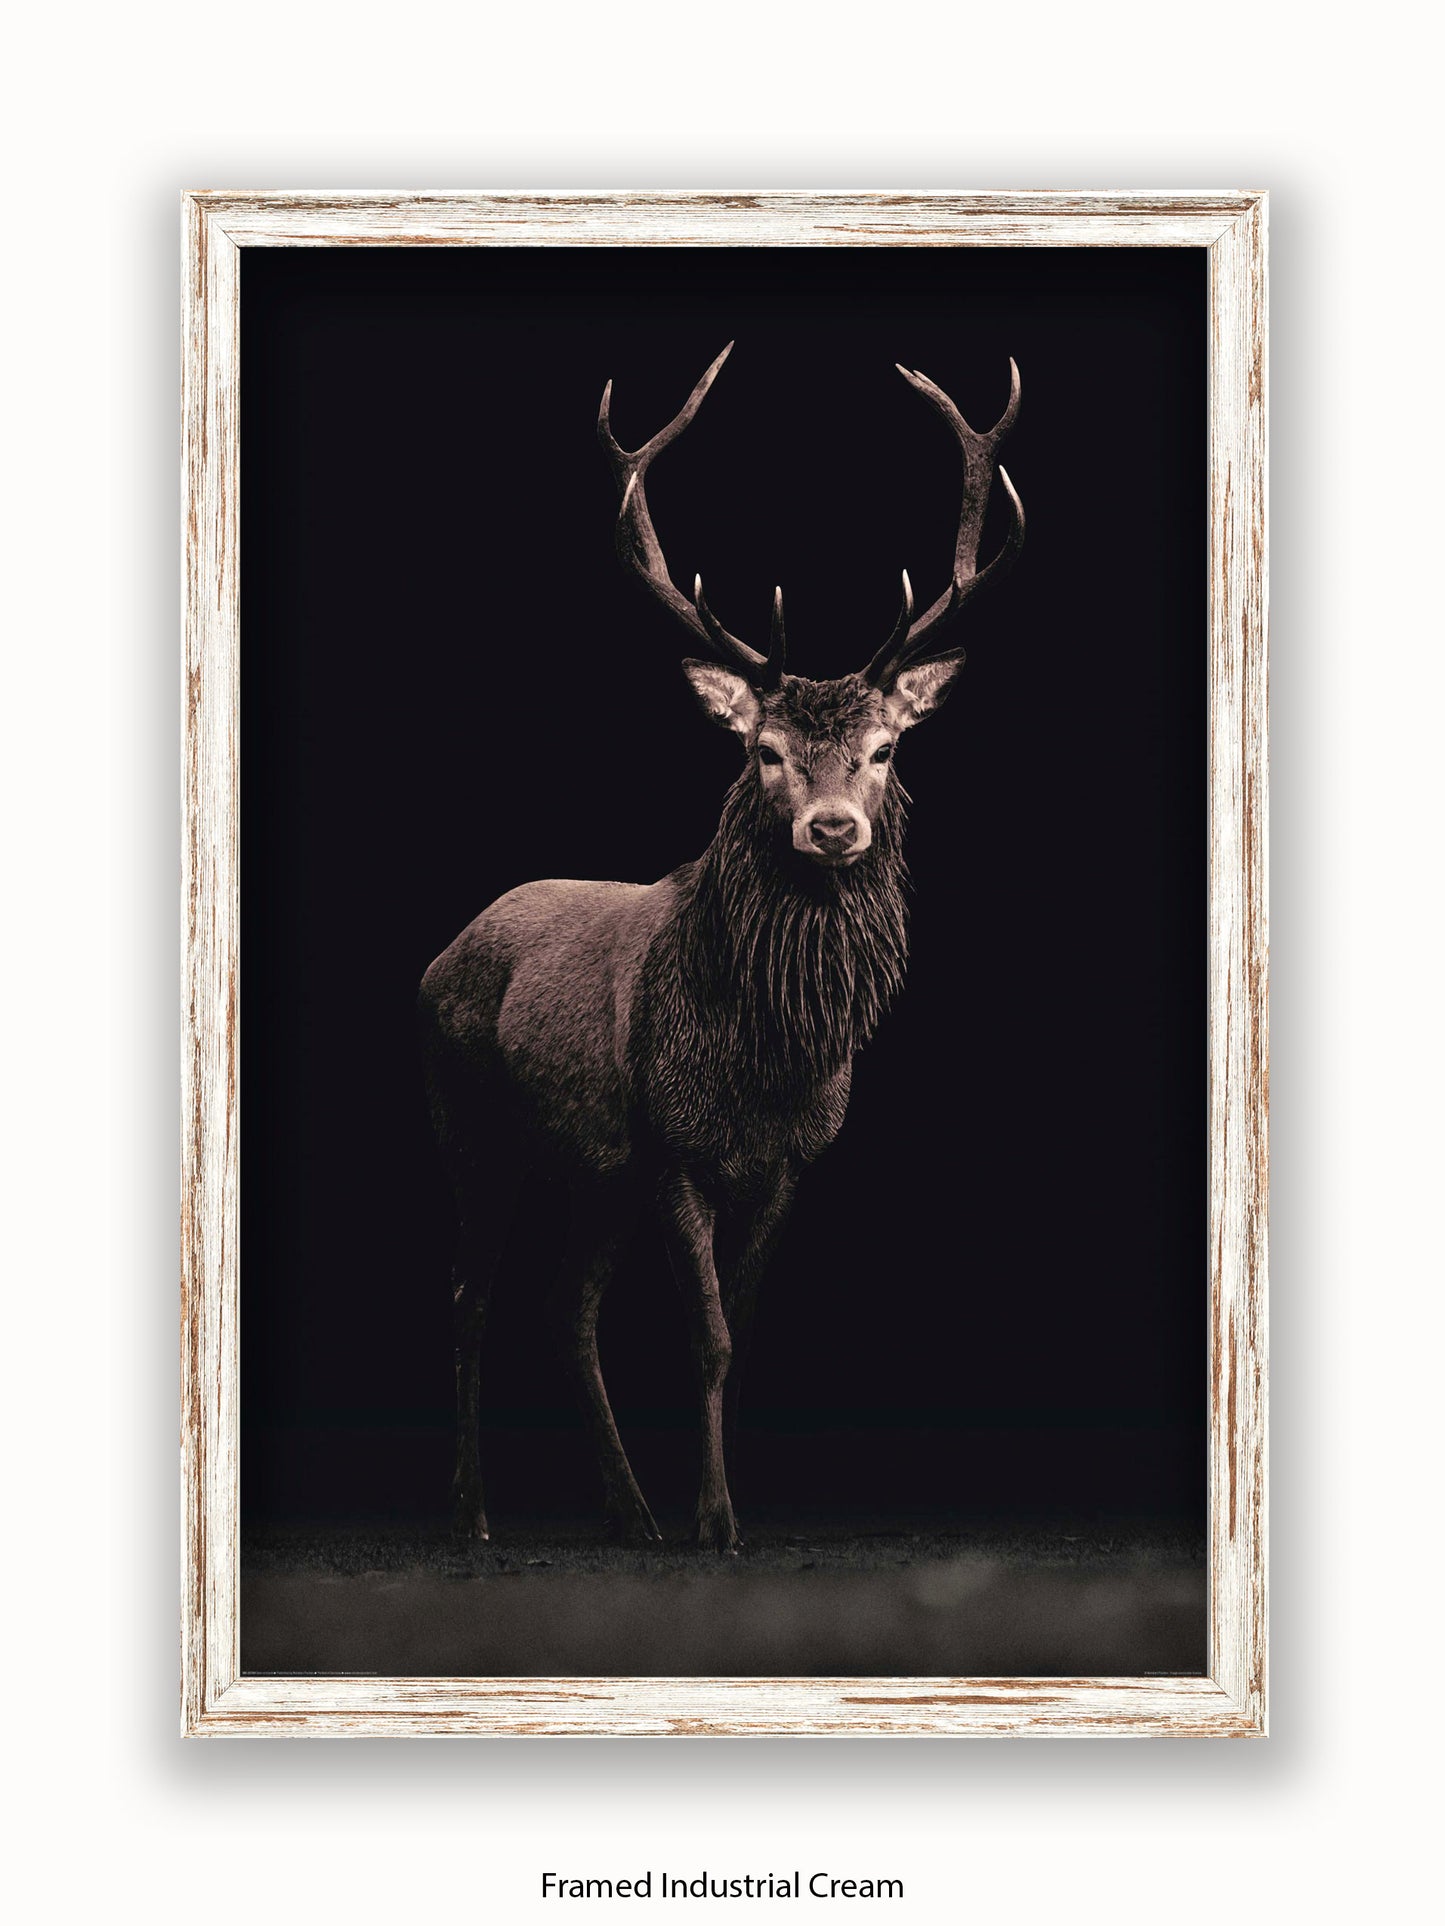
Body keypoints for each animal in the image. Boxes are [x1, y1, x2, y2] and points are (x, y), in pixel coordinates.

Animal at [419, 342, 1024, 1552]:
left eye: (884, 749)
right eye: (764, 751)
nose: (831, 829)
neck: (764, 1063)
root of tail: (438, 957)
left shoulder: (785, 1163)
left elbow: (739, 1341)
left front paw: (717, 1501)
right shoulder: (673, 1148)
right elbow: (703, 1333)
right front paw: (714, 1519)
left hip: (591, 1166)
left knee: (565, 1304)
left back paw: (627, 1509)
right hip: (474, 1122)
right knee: (471, 1295)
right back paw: (475, 1512)